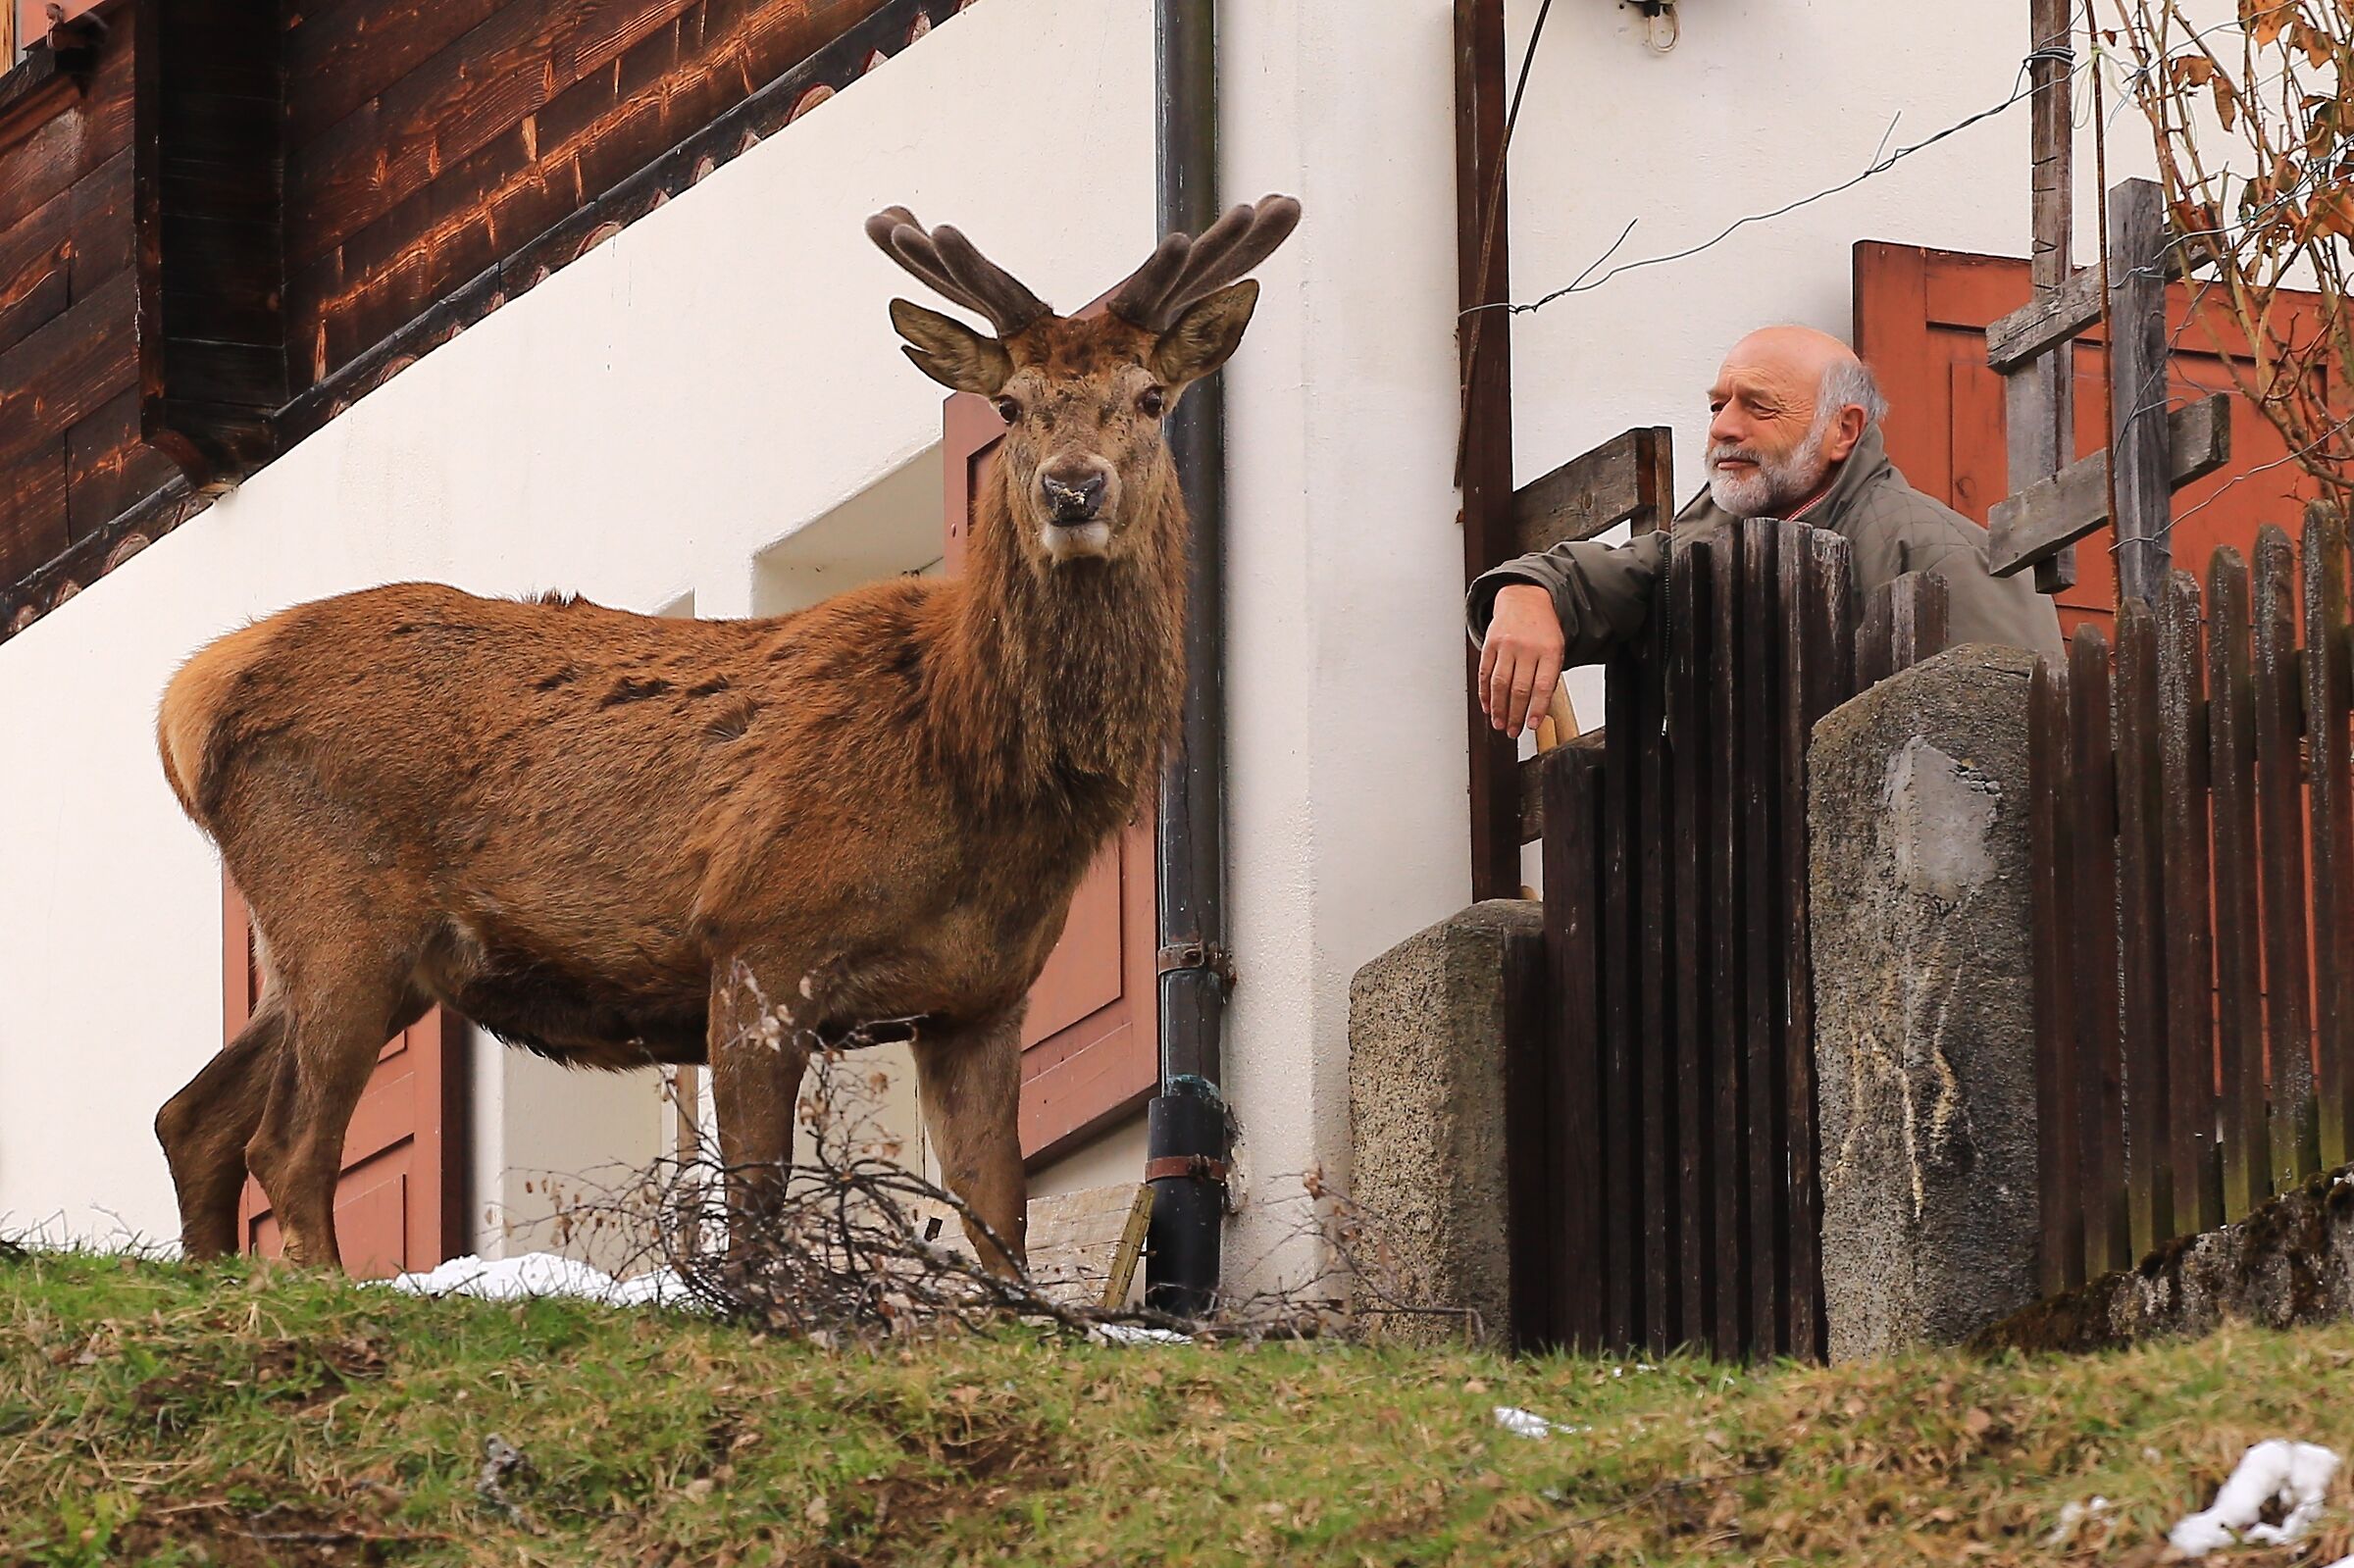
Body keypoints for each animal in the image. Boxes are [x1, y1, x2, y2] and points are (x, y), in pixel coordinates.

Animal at [151, 194, 1302, 1278]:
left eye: (1149, 398)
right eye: (1011, 404)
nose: (1072, 488)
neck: (972, 769)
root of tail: (188, 698)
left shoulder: (981, 996)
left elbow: (999, 1217)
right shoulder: (758, 933)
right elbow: (753, 1200)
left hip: (348, 946)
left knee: (191, 1117)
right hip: (337, 902)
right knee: (286, 1146)